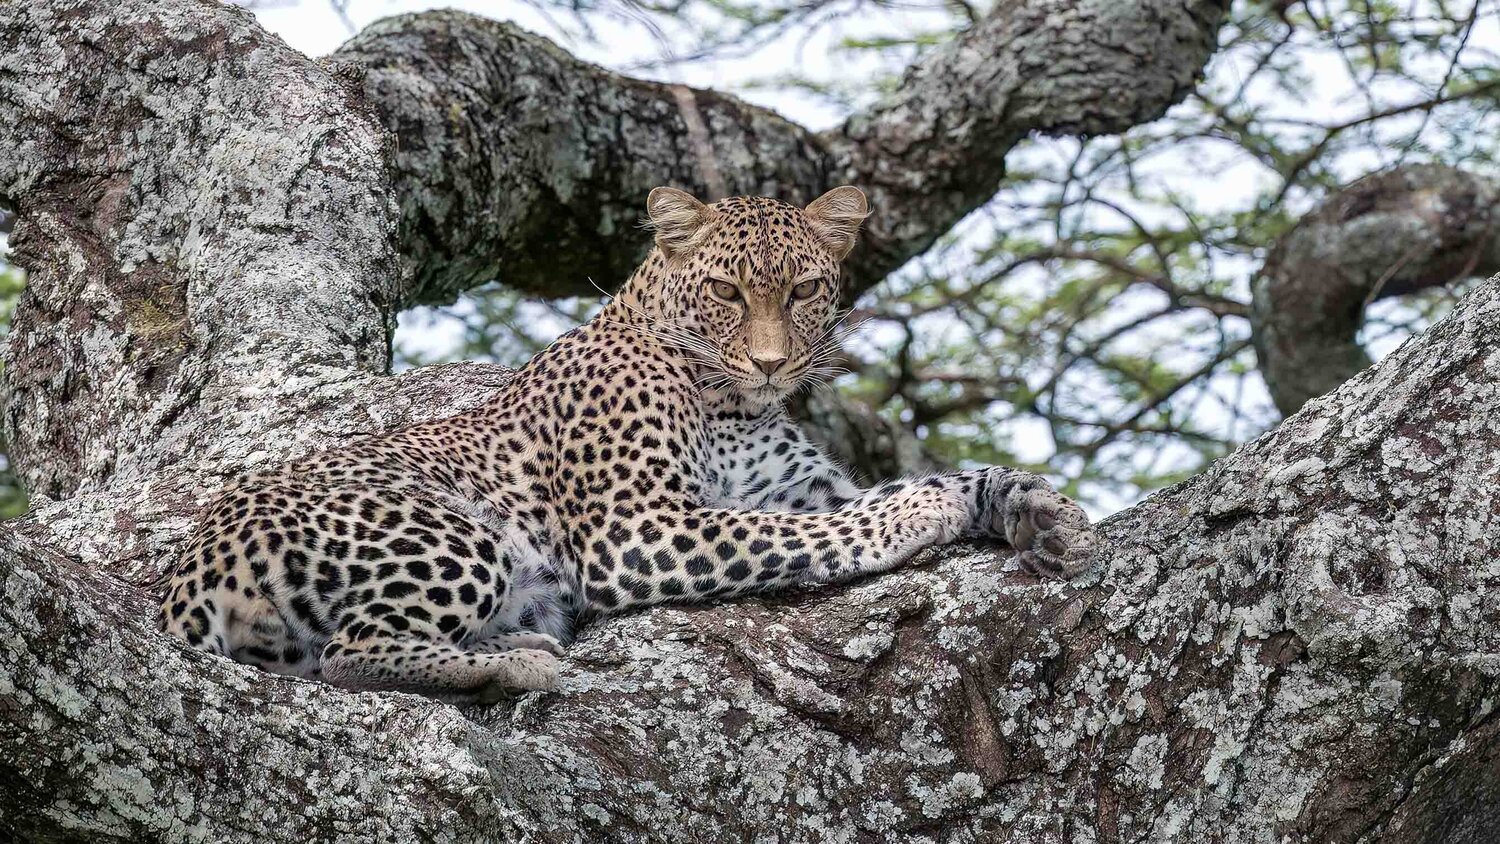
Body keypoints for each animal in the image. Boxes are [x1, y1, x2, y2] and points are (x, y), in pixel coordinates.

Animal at [159, 185, 1098, 704]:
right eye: (726, 291)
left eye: (803, 290)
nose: (772, 363)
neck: (730, 403)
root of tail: (188, 573)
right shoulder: (636, 527)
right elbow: (809, 533)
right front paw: (924, 512)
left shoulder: (800, 488)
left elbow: (880, 497)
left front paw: (1029, 504)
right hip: (452, 529)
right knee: (349, 656)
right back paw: (518, 668)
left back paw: (512, 646)